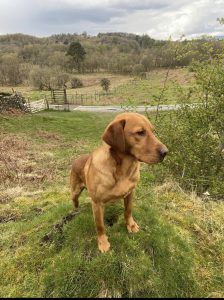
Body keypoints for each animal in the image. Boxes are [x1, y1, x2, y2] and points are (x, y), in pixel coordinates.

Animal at [70, 112, 168, 253]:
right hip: (75, 191)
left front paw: (130, 225)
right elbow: (100, 226)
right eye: (140, 132)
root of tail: (76, 159)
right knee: (74, 200)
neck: (123, 170)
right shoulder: (97, 203)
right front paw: (103, 242)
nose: (166, 152)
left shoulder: (130, 193)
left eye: (152, 131)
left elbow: (128, 211)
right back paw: (75, 210)